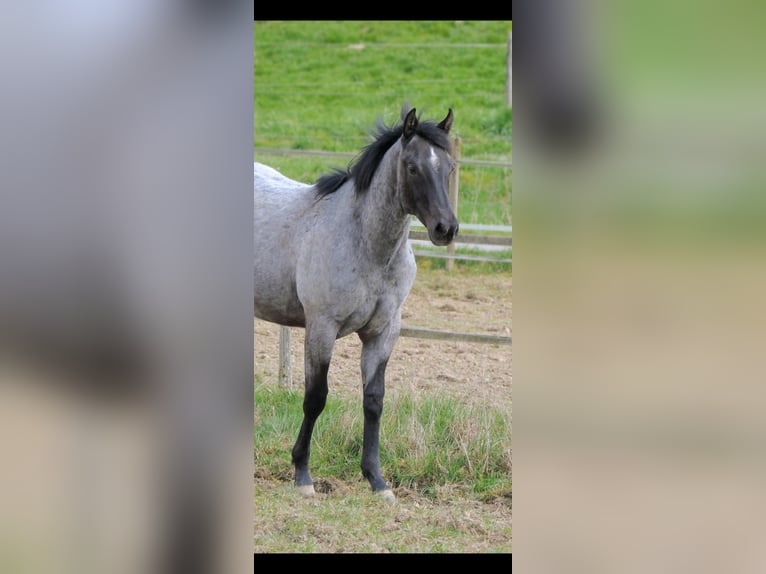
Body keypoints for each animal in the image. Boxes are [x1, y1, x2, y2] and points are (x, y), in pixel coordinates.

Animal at [254, 105, 459, 502]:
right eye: (413, 167)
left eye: (449, 166)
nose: (446, 228)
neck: (365, 243)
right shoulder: (321, 328)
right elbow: (315, 397)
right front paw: (302, 475)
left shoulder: (383, 333)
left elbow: (374, 401)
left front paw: (377, 481)